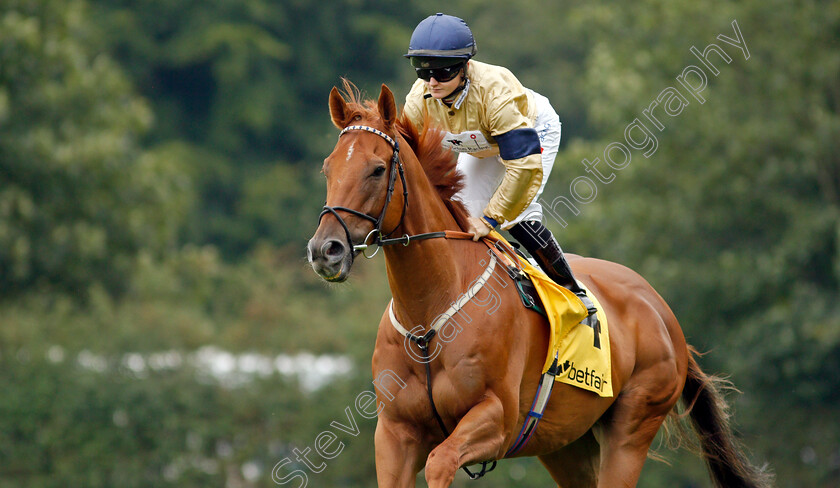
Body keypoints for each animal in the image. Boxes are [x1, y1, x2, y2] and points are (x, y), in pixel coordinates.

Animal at [306, 84, 768, 488]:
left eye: (377, 169)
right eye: (328, 167)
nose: (325, 250)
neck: (429, 316)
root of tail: (662, 312)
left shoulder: (496, 418)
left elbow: (440, 462)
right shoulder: (396, 434)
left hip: (633, 424)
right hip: (566, 444)